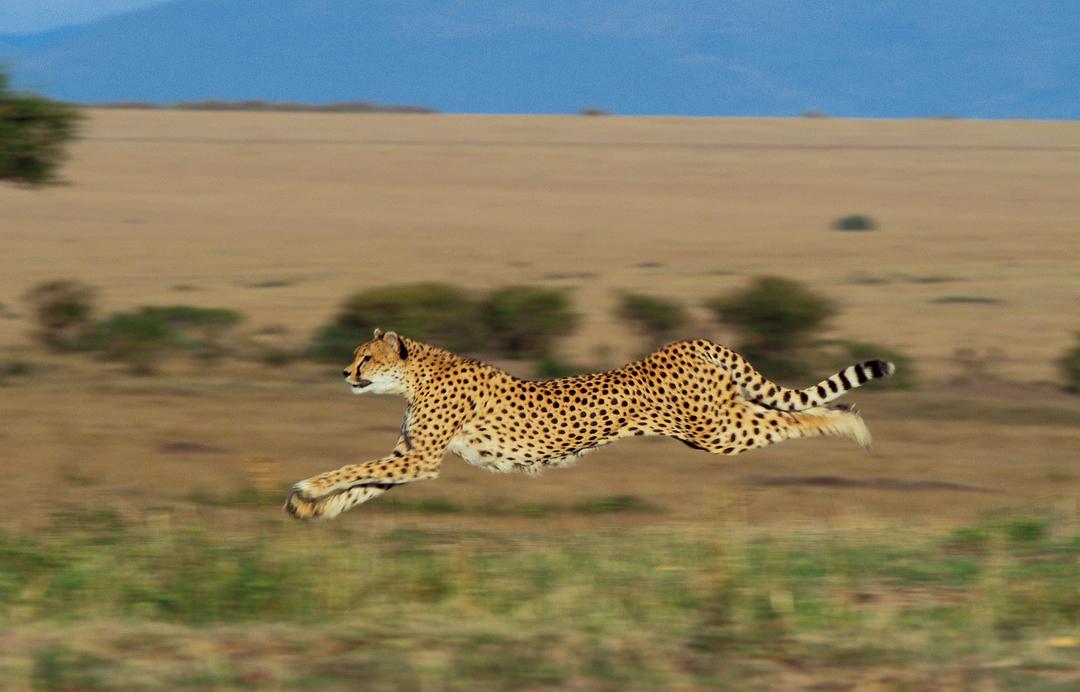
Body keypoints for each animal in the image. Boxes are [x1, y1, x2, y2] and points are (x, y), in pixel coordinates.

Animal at [284, 328, 895, 520]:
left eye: (366, 357)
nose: (344, 371)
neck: (417, 375)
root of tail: (689, 341)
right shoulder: (412, 460)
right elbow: (362, 484)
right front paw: (311, 507)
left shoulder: (422, 458)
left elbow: (352, 469)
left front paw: (308, 487)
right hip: (719, 420)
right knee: (788, 411)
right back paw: (854, 425)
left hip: (716, 430)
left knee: (802, 415)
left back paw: (852, 428)